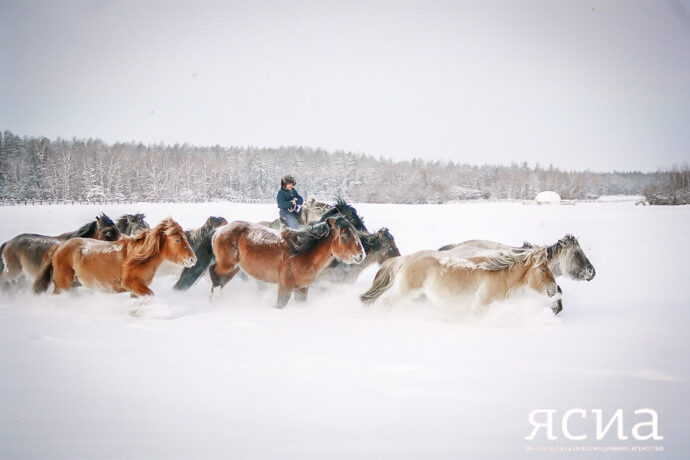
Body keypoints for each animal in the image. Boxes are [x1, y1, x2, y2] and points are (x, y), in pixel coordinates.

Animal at [34, 217, 196, 296]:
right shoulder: (133, 284)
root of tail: (59, 247)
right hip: (63, 284)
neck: (138, 258)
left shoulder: (137, 289)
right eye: (177, 240)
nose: (193, 259)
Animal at [210, 214, 368, 308]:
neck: (302, 253)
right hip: (227, 264)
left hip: (235, 268)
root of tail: (219, 230)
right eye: (345, 235)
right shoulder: (285, 286)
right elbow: (280, 304)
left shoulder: (302, 288)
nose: (361, 255)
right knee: (214, 273)